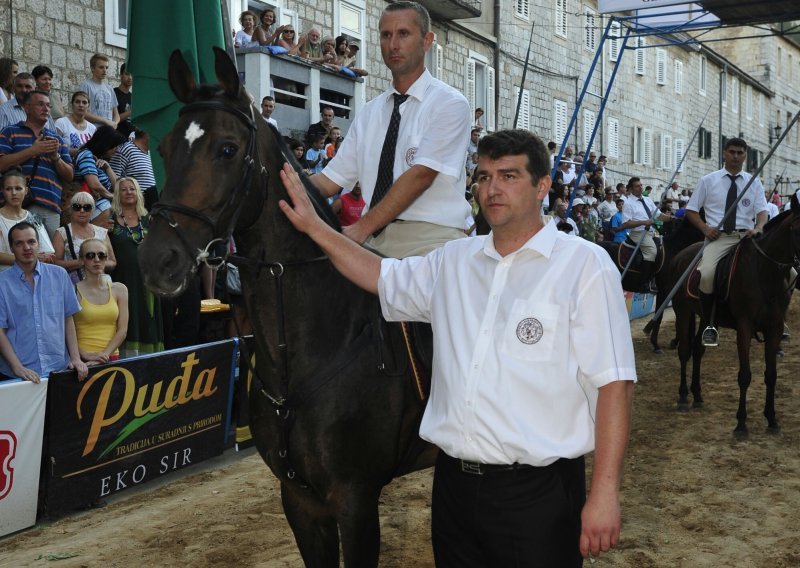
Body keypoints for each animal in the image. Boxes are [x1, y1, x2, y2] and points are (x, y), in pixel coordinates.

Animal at [664, 195, 796, 434]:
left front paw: (772, 420)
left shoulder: (774, 327)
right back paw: (684, 397)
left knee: (697, 349)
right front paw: (741, 424)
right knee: (685, 351)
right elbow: (744, 375)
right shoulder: (744, 327)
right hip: (683, 311)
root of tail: (681, 255)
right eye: (798, 230)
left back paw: (697, 395)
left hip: (706, 316)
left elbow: (771, 375)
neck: (764, 272)